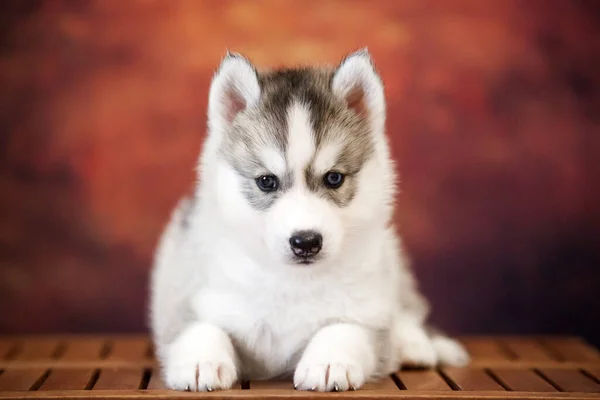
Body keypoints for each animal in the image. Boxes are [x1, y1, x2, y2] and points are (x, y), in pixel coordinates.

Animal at [150, 48, 468, 392]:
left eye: (333, 178)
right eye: (266, 181)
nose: (306, 242)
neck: (293, 281)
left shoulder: (368, 311)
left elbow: (345, 327)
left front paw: (329, 361)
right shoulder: (189, 296)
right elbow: (200, 327)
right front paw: (200, 360)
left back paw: (415, 344)